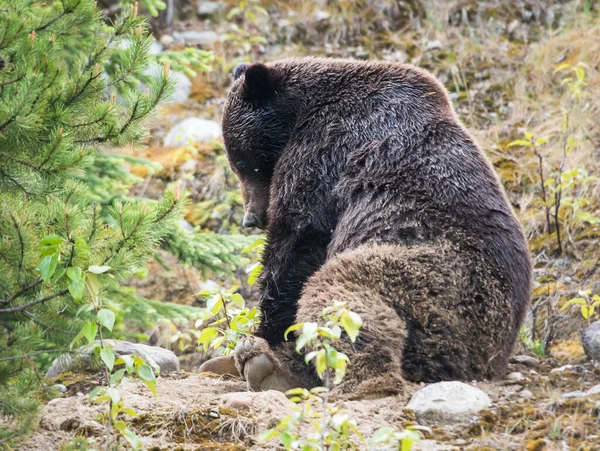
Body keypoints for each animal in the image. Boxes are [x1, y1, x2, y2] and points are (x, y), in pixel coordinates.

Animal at [218, 57, 532, 400]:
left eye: (244, 162)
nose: (251, 218)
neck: (299, 113)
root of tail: (489, 357)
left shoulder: (326, 148)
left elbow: (298, 239)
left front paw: (266, 329)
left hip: (439, 277)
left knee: (341, 293)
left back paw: (287, 369)